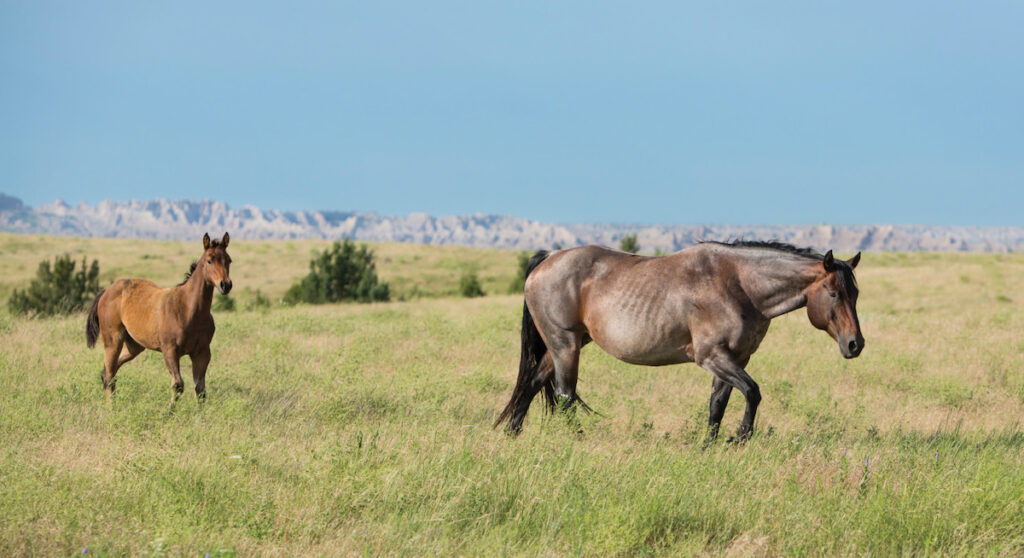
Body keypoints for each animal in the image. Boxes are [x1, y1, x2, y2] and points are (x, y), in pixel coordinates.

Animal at [86, 232, 233, 402]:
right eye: (209, 260)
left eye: (229, 260)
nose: (225, 285)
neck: (188, 310)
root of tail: (107, 290)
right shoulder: (169, 351)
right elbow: (178, 385)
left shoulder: (202, 353)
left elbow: (200, 390)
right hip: (113, 341)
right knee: (109, 376)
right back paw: (111, 407)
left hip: (134, 346)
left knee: (109, 373)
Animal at [494, 240, 863, 440]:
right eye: (833, 292)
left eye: (855, 293)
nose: (855, 344)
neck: (738, 284)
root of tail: (547, 259)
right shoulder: (712, 356)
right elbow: (752, 392)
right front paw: (740, 437)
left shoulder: (734, 359)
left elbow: (718, 406)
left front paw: (709, 447)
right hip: (565, 345)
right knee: (565, 396)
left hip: (562, 346)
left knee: (531, 385)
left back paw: (513, 435)